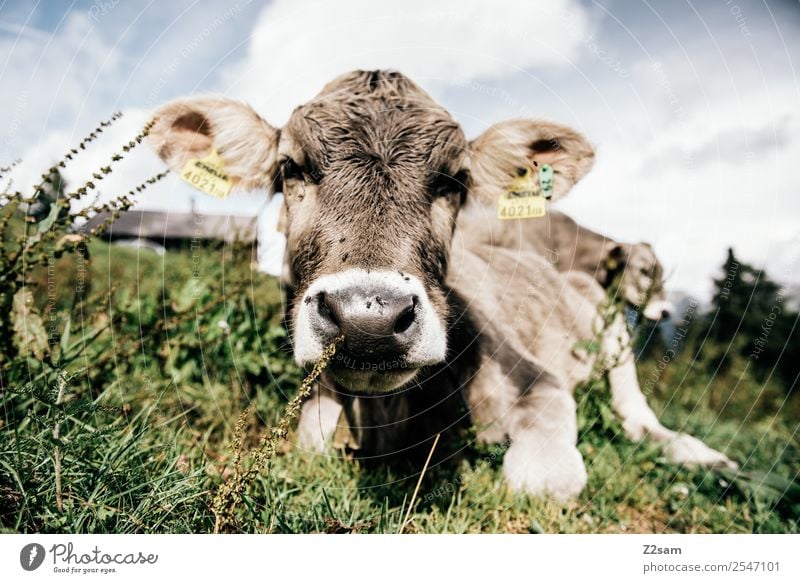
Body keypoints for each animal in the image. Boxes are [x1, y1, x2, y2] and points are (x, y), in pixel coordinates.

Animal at [147, 68, 736, 498]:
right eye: (291, 168)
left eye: (455, 179)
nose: (369, 319)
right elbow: (313, 438)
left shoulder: (539, 380)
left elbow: (545, 477)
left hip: (616, 342)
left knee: (638, 418)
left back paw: (705, 456)